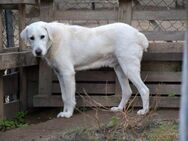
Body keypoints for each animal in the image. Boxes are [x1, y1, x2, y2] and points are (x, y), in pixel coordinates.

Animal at [20, 21, 150, 118]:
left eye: (42, 36)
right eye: (31, 38)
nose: (38, 52)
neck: (55, 40)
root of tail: (137, 33)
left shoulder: (68, 74)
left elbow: (69, 97)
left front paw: (68, 114)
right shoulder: (60, 75)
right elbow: (64, 97)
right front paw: (65, 112)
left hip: (129, 68)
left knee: (144, 90)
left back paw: (144, 111)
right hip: (120, 69)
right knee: (127, 91)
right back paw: (119, 109)